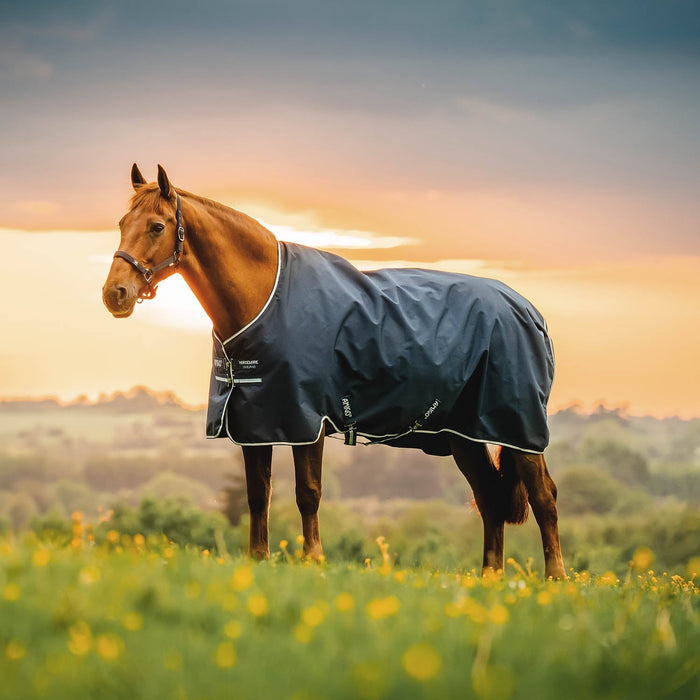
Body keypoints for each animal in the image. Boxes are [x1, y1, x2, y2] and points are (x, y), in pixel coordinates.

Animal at [102, 164, 566, 579]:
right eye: (123, 222)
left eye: (157, 226)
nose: (114, 294)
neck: (265, 299)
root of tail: (529, 312)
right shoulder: (255, 422)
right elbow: (258, 496)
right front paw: (259, 559)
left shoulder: (306, 420)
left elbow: (308, 494)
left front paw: (313, 560)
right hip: (463, 435)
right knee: (489, 497)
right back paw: (491, 578)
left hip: (519, 428)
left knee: (543, 496)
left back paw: (556, 579)